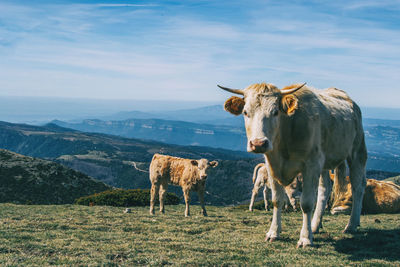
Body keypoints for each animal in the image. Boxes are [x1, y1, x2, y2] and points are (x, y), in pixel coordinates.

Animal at [220, 82, 368, 248]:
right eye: (245, 112)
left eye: (275, 112)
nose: (258, 143)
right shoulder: (272, 166)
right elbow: (277, 200)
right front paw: (273, 233)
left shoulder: (311, 165)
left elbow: (307, 203)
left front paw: (305, 238)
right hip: (324, 161)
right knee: (325, 189)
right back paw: (315, 225)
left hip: (357, 151)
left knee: (358, 186)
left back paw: (351, 225)